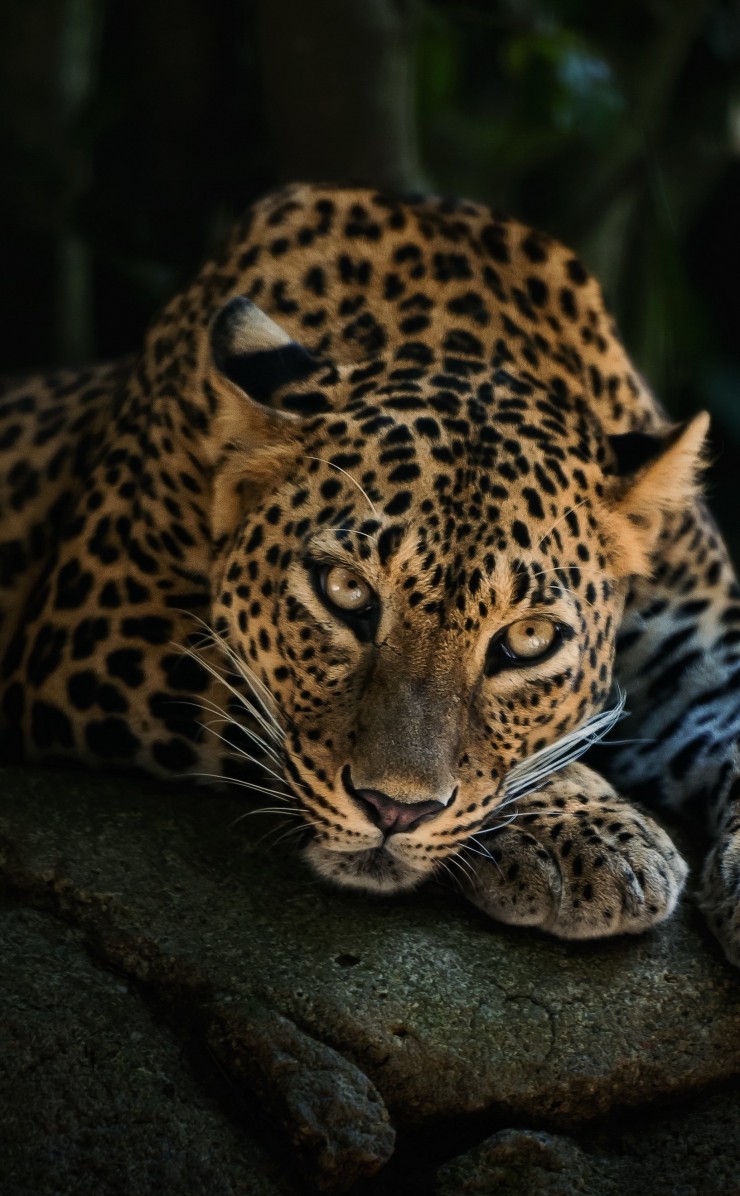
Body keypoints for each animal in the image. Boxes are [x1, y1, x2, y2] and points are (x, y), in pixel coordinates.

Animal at [2, 183, 740, 965]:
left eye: (528, 640)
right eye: (347, 593)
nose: (395, 810)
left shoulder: (704, 642)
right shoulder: (97, 624)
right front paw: (585, 829)